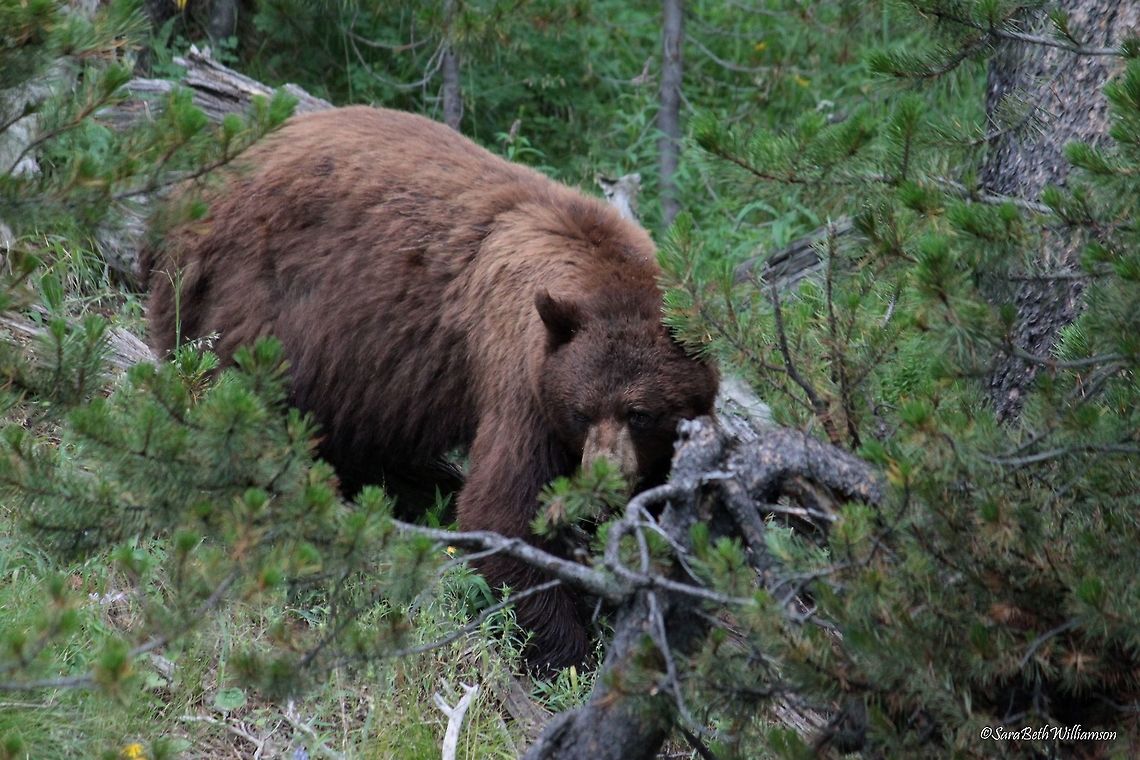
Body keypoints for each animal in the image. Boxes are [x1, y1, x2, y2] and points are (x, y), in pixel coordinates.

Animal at [141, 106, 719, 670]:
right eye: (581, 412)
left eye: (640, 413)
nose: (602, 478)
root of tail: (193, 192)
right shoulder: (518, 372)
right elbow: (505, 509)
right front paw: (567, 652)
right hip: (257, 300)